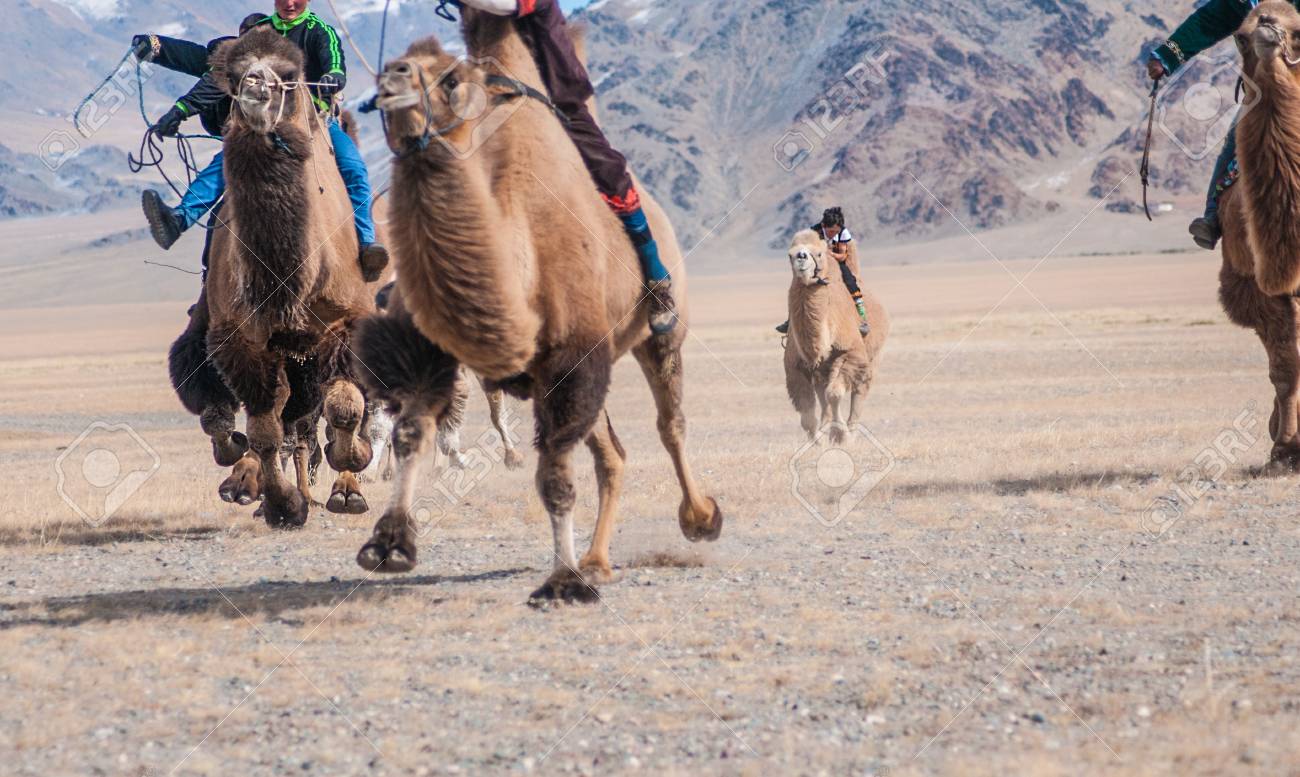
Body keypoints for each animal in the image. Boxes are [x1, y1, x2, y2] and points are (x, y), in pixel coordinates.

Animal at [167, 30, 380, 526]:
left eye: (290, 74)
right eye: (230, 73)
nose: (253, 86)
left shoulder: (346, 325)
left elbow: (345, 410)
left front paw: (349, 469)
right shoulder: (239, 338)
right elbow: (261, 427)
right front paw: (282, 505)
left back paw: (346, 490)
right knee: (279, 421)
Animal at [353, 16, 722, 601]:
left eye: (452, 78)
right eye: (395, 60)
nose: (391, 80)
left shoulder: (572, 358)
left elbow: (554, 478)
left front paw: (563, 581)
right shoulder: (434, 354)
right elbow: (411, 433)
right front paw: (388, 544)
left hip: (659, 333)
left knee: (670, 423)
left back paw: (699, 518)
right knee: (611, 453)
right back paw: (598, 559)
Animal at [783, 229, 888, 442]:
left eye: (819, 254)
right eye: (789, 254)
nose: (800, 257)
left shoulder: (852, 353)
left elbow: (834, 394)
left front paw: (843, 435)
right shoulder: (796, 365)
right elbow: (806, 407)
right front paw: (818, 440)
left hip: (873, 357)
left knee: (859, 391)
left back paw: (851, 433)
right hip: (822, 370)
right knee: (823, 395)